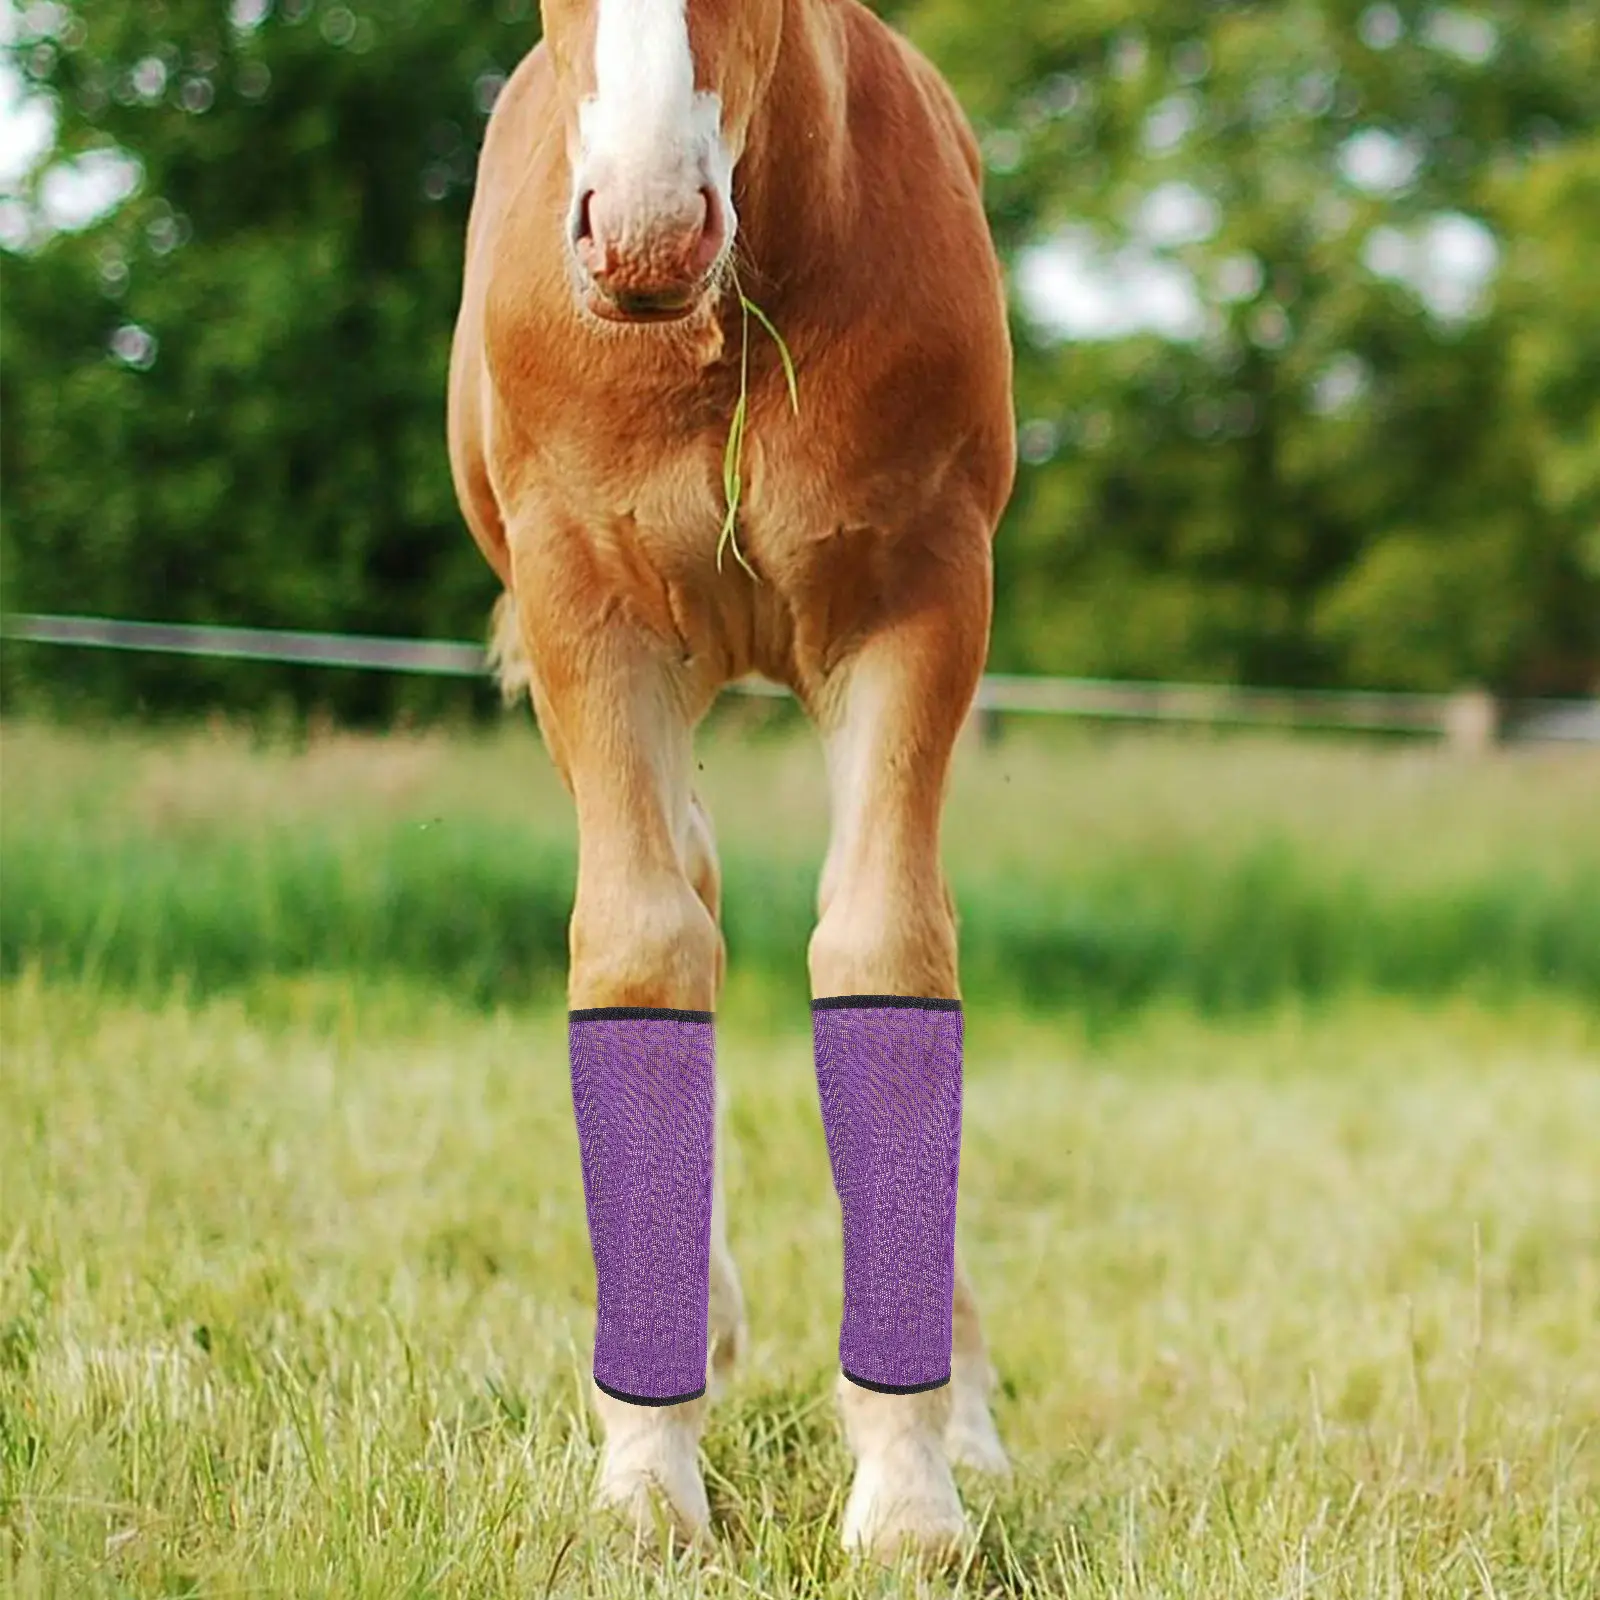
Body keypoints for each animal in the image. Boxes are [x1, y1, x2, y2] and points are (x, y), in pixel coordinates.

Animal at [447, 0, 1016, 1562]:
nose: (646, 229)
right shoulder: (588, 614)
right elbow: (643, 954)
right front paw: (646, 1481)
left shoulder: (918, 602)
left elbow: (886, 950)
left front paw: (912, 1492)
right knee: (683, 891)